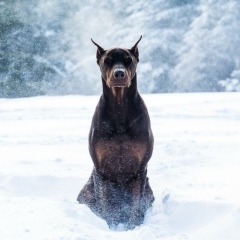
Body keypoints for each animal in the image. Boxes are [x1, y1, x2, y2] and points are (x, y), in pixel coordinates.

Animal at [78, 36, 155, 231]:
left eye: (128, 60)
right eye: (108, 61)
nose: (119, 74)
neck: (120, 107)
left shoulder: (140, 169)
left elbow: (136, 203)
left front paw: (133, 226)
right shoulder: (100, 169)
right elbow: (104, 203)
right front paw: (109, 225)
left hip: (149, 190)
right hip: (86, 191)